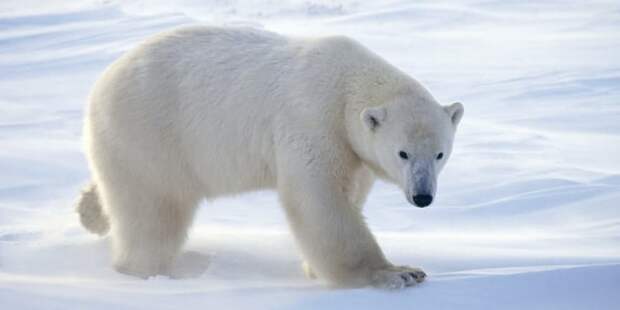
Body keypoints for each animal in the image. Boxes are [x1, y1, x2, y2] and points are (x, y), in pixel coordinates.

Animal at [75, 25, 462, 290]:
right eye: (403, 153)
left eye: (440, 154)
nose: (423, 197)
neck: (347, 84)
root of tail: (101, 83)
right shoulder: (313, 121)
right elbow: (319, 200)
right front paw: (397, 272)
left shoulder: (352, 147)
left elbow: (350, 191)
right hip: (151, 133)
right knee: (154, 211)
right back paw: (144, 270)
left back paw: (89, 210)